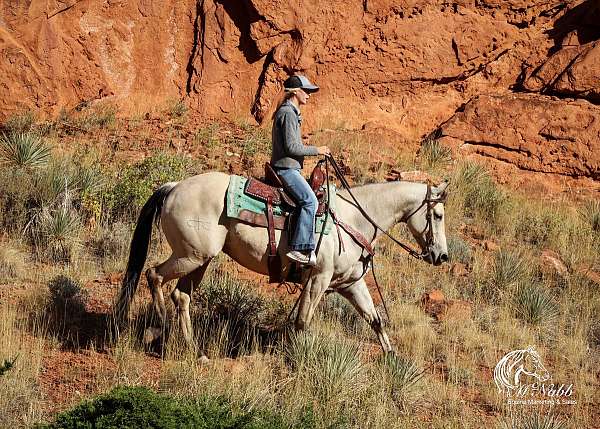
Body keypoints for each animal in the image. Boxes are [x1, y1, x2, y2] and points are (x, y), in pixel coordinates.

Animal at [115, 166, 448, 356]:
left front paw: (393, 360)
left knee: (181, 296)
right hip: (190, 255)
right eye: (438, 215)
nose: (442, 256)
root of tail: (173, 187)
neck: (354, 218)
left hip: (201, 259)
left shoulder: (349, 283)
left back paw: (195, 350)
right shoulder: (318, 279)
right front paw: (297, 357)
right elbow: (302, 322)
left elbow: (374, 319)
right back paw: (159, 329)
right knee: (154, 275)